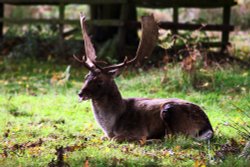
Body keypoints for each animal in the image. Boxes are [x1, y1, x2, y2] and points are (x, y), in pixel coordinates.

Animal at [76, 13, 213, 143]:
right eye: (85, 77)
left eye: (100, 81)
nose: (80, 93)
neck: (111, 127)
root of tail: (208, 127)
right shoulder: (106, 135)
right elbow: (102, 137)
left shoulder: (136, 130)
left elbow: (116, 139)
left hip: (170, 111)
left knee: (174, 137)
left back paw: (152, 140)